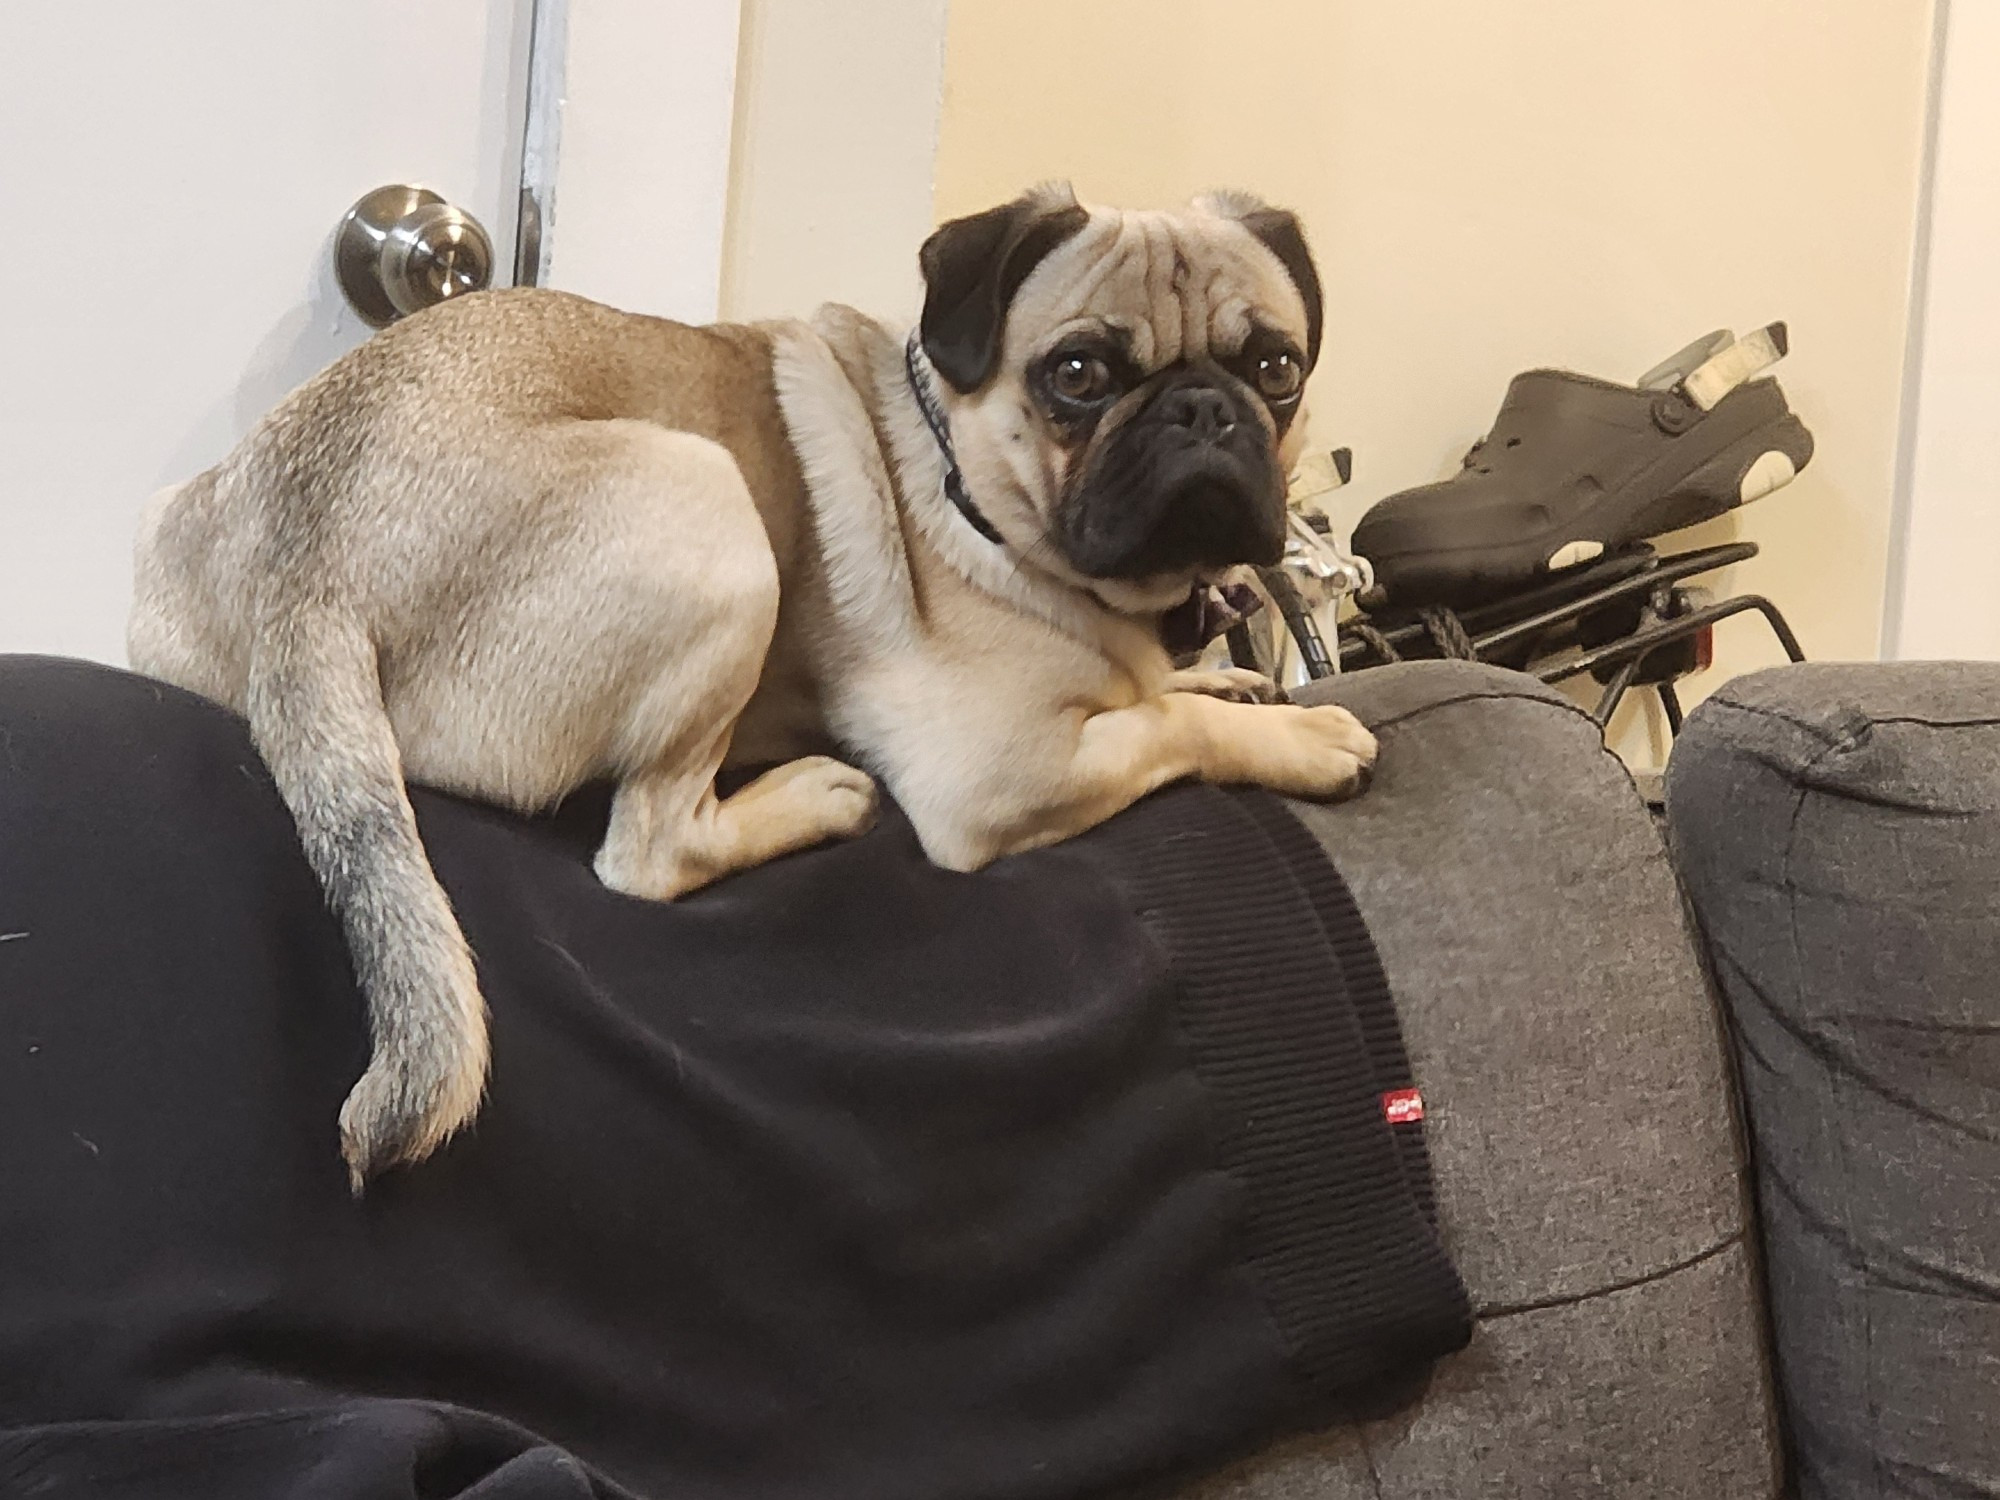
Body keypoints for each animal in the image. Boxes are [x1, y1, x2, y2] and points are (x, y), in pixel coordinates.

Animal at [125, 182, 1376, 1184]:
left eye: (1275, 369)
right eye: (1077, 375)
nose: (1203, 408)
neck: (965, 470)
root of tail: (308, 574)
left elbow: (1167, 700)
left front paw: (1237, 689)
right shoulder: (992, 776)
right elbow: (1163, 731)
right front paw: (1301, 738)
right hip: (716, 511)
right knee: (650, 850)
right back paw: (810, 796)